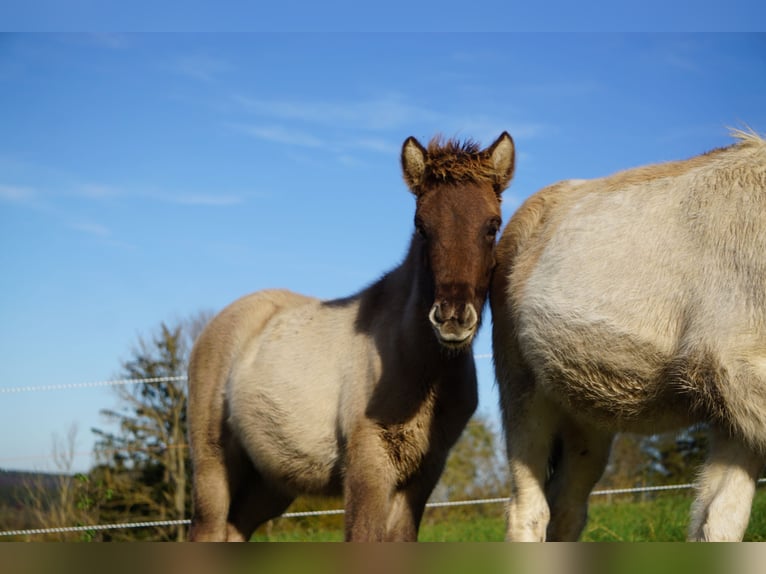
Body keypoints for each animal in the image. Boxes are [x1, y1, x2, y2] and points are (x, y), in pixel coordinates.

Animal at [189, 133, 520, 544]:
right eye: (422, 226)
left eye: (492, 226)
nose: (452, 318)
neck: (418, 364)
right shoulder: (368, 465)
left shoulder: (423, 473)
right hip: (213, 462)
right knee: (207, 528)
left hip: (270, 481)